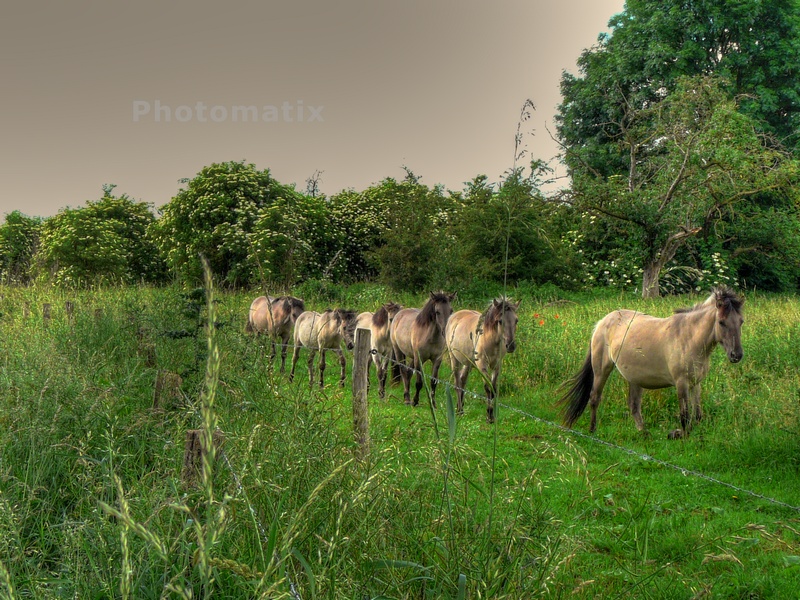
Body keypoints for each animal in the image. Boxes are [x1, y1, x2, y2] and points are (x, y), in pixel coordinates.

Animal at [556, 288, 744, 438]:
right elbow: (684, 415)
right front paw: (680, 436)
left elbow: (697, 415)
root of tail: (602, 322)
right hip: (602, 369)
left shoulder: (695, 383)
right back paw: (592, 430)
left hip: (634, 378)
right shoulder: (681, 383)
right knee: (595, 397)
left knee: (633, 406)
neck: (689, 338)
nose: (736, 355)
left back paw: (644, 433)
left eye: (741, 322)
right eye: (721, 322)